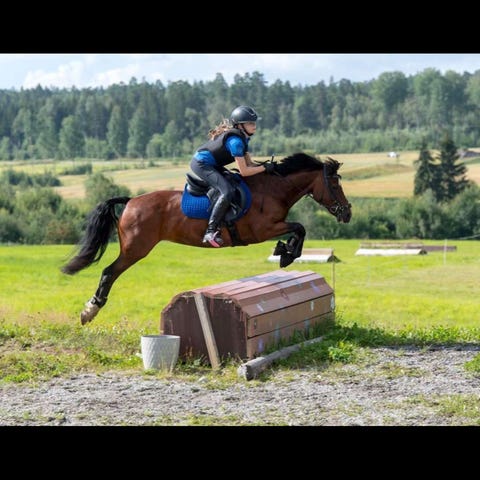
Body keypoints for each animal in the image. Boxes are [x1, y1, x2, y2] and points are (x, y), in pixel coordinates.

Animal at [61, 152, 352, 324]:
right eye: (334, 184)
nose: (347, 213)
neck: (274, 189)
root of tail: (131, 201)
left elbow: (299, 230)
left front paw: (285, 251)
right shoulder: (263, 230)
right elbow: (300, 228)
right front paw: (286, 253)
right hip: (135, 249)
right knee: (109, 272)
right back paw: (90, 310)